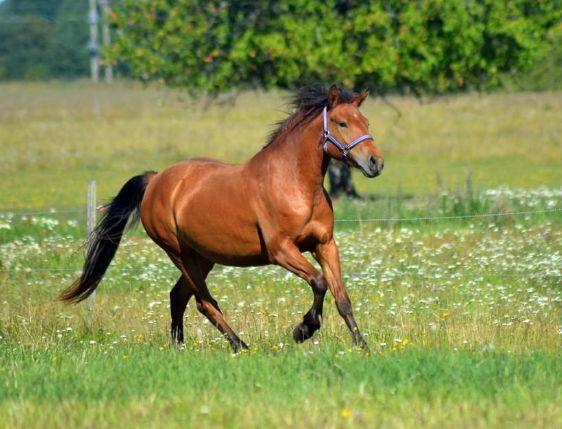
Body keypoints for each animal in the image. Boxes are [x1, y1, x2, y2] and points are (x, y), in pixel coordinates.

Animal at [62, 84, 384, 352]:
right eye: (342, 123)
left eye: (367, 122)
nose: (375, 163)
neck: (295, 183)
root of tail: (155, 180)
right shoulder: (281, 250)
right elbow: (319, 282)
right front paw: (304, 329)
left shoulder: (325, 245)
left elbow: (342, 297)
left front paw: (362, 345)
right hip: (179, 253)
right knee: (203, 302)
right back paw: (239, 345)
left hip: (203, 256)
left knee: (178, 296)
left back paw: (181, 347)